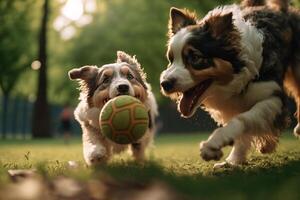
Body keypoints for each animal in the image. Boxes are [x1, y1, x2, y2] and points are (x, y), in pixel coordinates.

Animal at [161, 0, 298, 167]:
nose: (164, 84)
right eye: (171, 59)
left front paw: (213, 144)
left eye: (195, 58)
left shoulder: (275, 97)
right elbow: (243, 132)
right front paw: (234, 161)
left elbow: (243, 119)